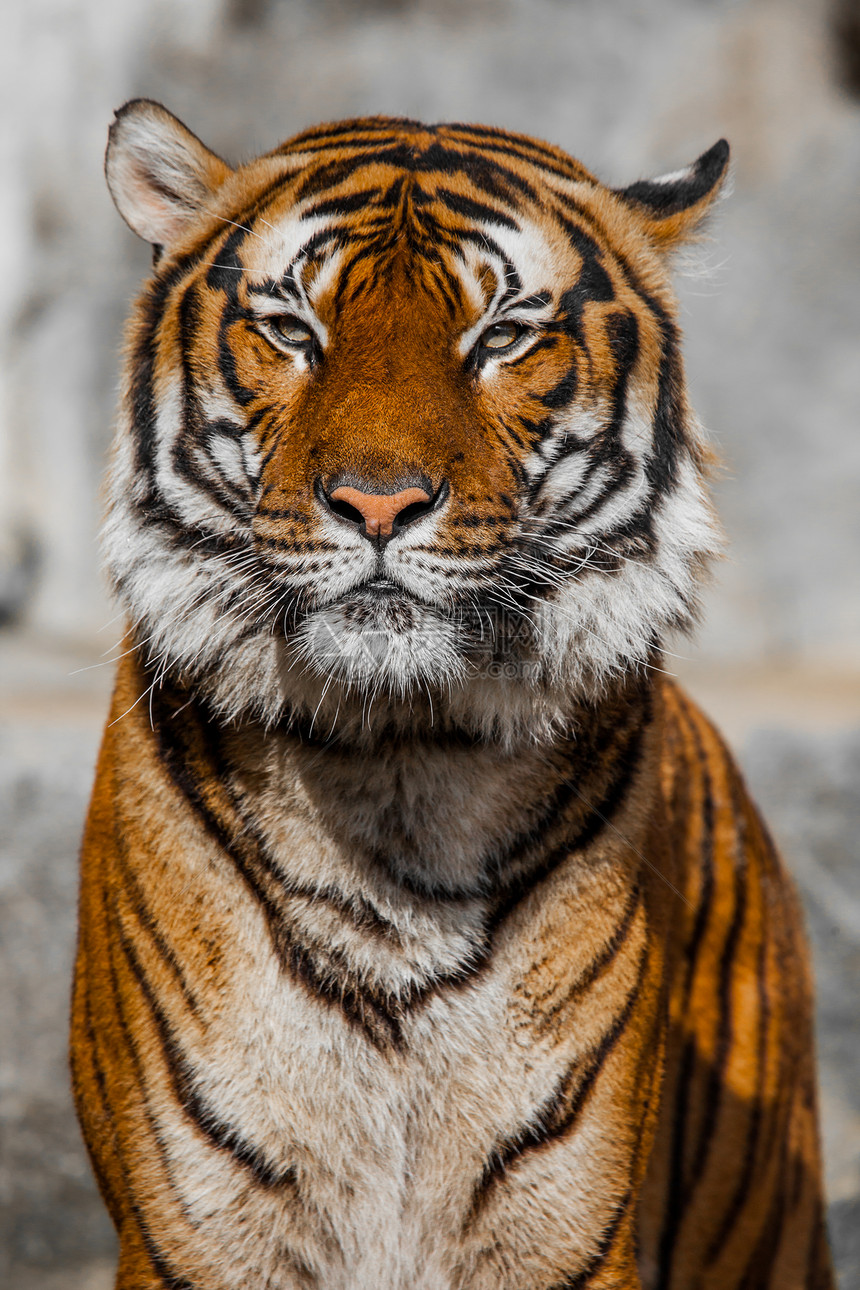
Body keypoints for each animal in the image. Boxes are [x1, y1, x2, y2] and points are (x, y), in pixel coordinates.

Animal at [70, 100, 835, 1290]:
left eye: (504, 336)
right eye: (291, 327)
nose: (377, 504)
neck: (395, 760)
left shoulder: (565, 1229)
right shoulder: (196, 1233)